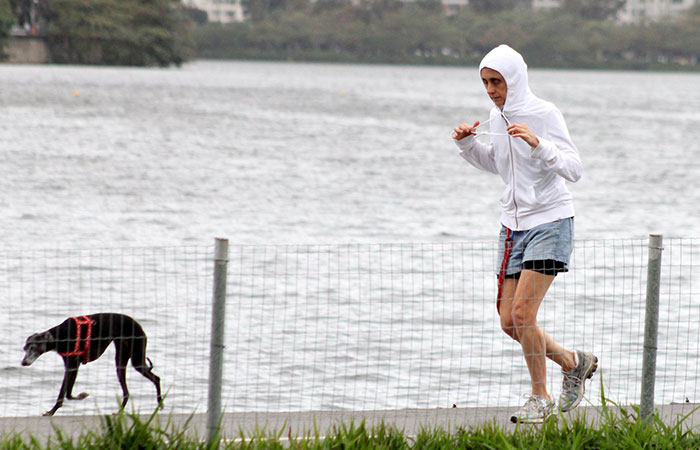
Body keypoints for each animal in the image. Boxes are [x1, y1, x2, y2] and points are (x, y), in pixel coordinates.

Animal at [20, 312, 163, 414]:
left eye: (33, 347)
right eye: (25, 348)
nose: (23, 362)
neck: (60, 335)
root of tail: (138, 325)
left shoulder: (72, 365)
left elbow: (63, 392)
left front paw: (52, 411)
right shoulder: (73, 366)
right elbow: (68, 393)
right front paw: (81, 395)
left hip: (137, 358)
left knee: (156, 378)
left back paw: (160, 404)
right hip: (121, 360)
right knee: (126, 391)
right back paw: (120, 411)